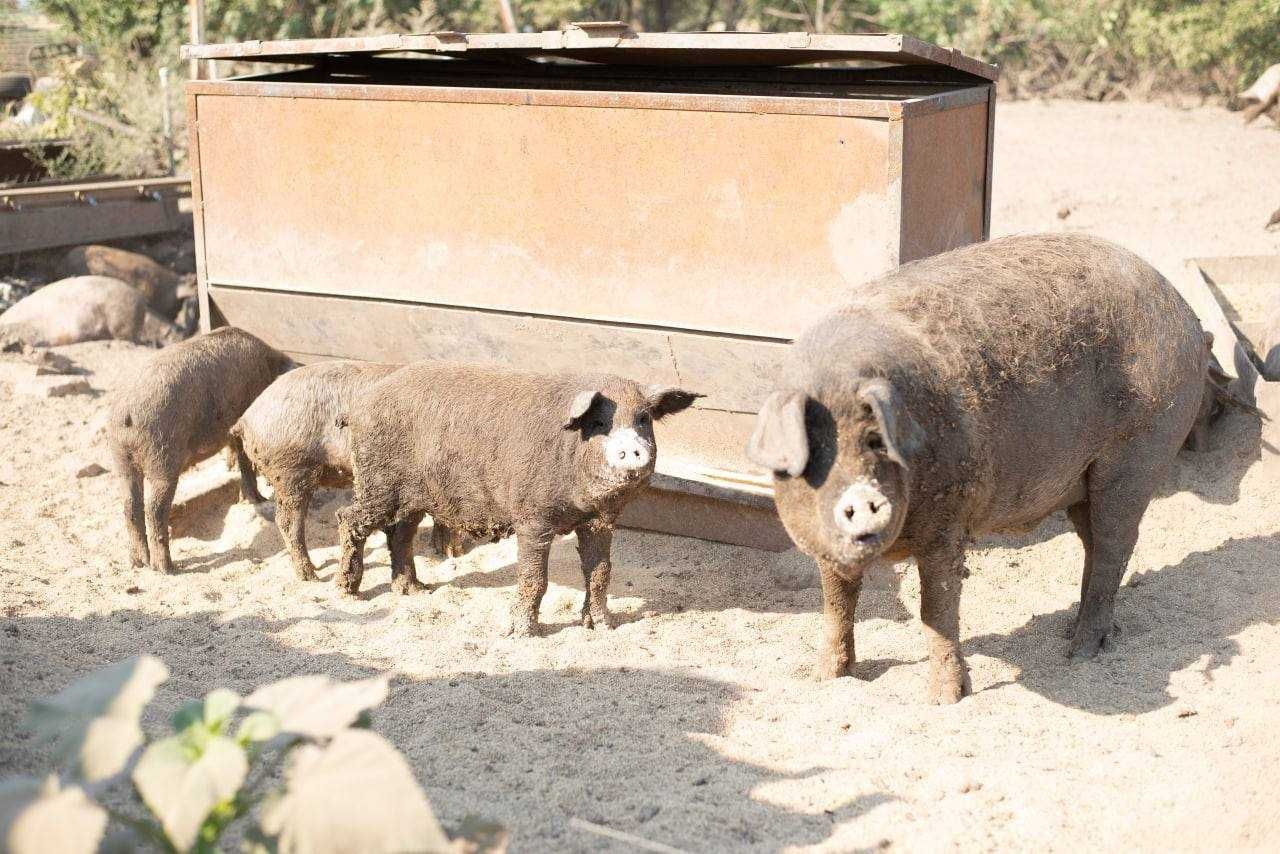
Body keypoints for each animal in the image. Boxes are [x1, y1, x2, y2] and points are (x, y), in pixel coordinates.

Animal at [107, 327, 293, 573]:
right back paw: (167, 569)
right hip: (162, 458)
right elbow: (245, 461)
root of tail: (127, 413)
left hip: (122, 461)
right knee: (154, 509)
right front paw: (259, 499)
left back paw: (138, 563)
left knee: (130, 506)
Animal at [230, 361, 471, 588]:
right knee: (287, 521)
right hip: (291, 471)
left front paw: (448, 551)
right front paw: (455, 552)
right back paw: (312, 577)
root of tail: (246, 418)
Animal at [337, 363, 701, 635]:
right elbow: (534, 578)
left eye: (643, 419)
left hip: (412, 496)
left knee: (400, 532)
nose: (632, 448)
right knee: (349, 518)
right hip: (376, 483)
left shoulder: (599, 522)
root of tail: (359, 404)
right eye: (599, 423)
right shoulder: (532, 518)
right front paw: (522, 634)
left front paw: (604, 627)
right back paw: (348, 594)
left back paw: (415, 591)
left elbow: (600, 573)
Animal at [747, 231, 1218, 701]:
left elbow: (937, 608)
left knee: (1113, 544)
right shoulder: (824, 547)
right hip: (1084, 481)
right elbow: (837, 602)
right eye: (816, 451)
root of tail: (1182, 309)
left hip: (1139, 453)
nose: (862, 498)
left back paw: (1081, 652)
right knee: (1093, 544)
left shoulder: (947, 520)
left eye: (876, 441)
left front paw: (946, 698)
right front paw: (827, 676)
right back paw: (1070, 630)